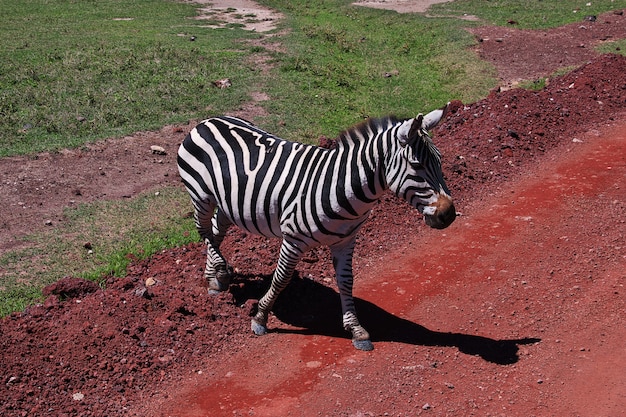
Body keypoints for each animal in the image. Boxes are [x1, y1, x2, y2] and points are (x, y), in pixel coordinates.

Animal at [176, 103, 454, 348]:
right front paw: (260, 318)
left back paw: (213, 279)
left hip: (228, 201)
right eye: (417, 165)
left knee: (216, 230)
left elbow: (347, 281)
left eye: (440, 160)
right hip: (200, 195)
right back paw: (221, 272)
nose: (448, 215)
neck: (341, 185)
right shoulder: (293, 239)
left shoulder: (345, 240)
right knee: (203, 230)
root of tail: (207, 120)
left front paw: (356, 330)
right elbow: (281, 278)